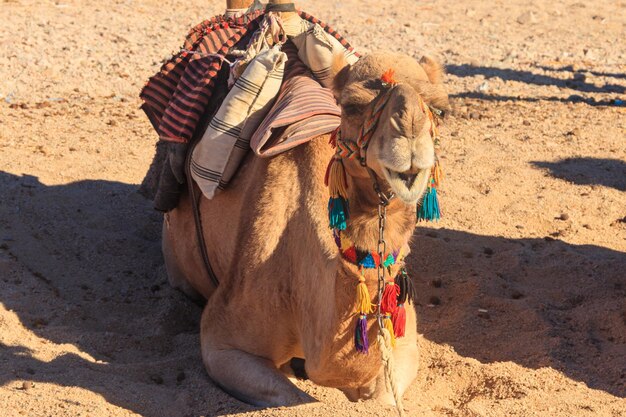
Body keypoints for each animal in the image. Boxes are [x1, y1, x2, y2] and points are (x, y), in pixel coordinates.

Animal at [161, 46, 448, 406]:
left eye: (439, 109)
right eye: (351, 106)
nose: (409, 134)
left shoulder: (405, 344)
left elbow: (382, 397)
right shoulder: (221, 340)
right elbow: (291, 396)